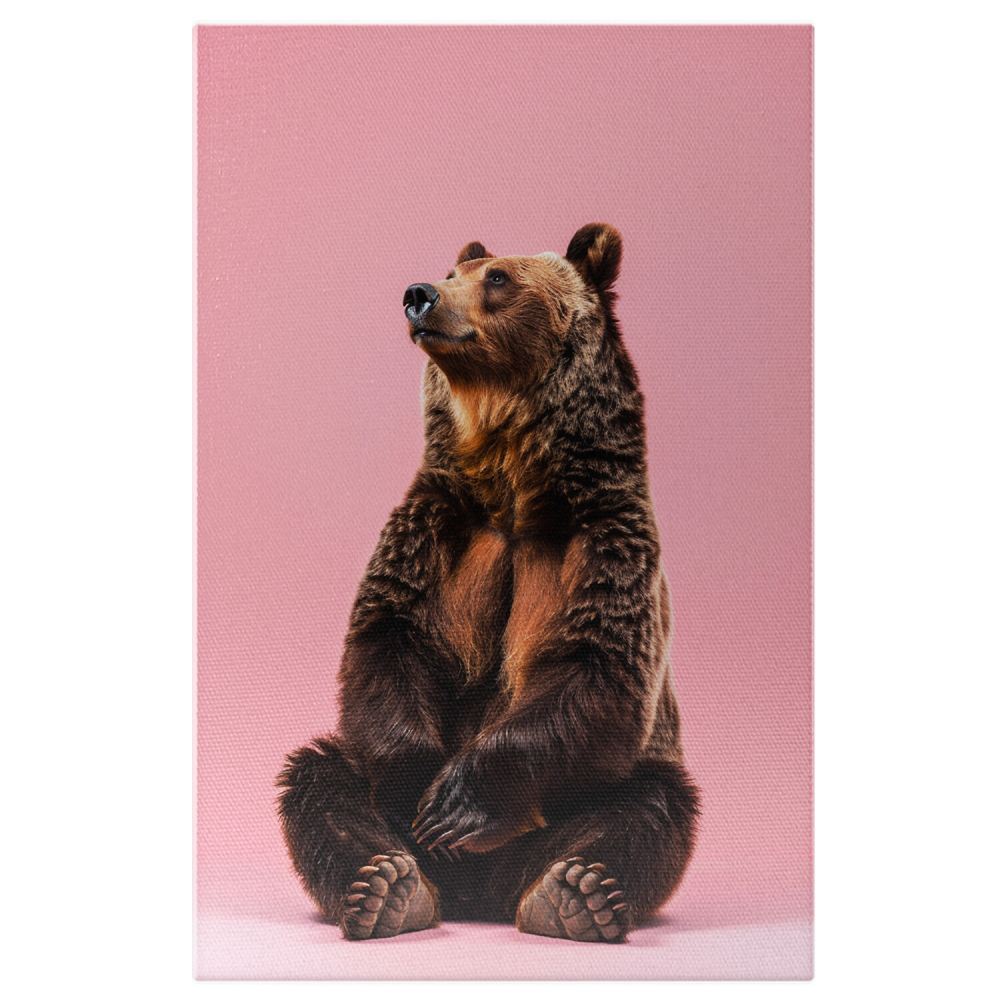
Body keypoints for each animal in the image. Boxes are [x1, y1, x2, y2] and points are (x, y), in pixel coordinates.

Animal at [277, 223, 699, 943]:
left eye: (498, 278)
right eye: (453, 272)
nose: (418, 294)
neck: (512, 485)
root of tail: (478, 895)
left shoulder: (602, 541)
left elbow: (597, 667)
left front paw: (455, 806)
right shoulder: (436, 531)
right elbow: (387, 641)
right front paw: (417, 793)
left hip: (598, 794)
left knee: (650, 806)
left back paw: (574, 893)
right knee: (317, 778)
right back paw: (388, 886)